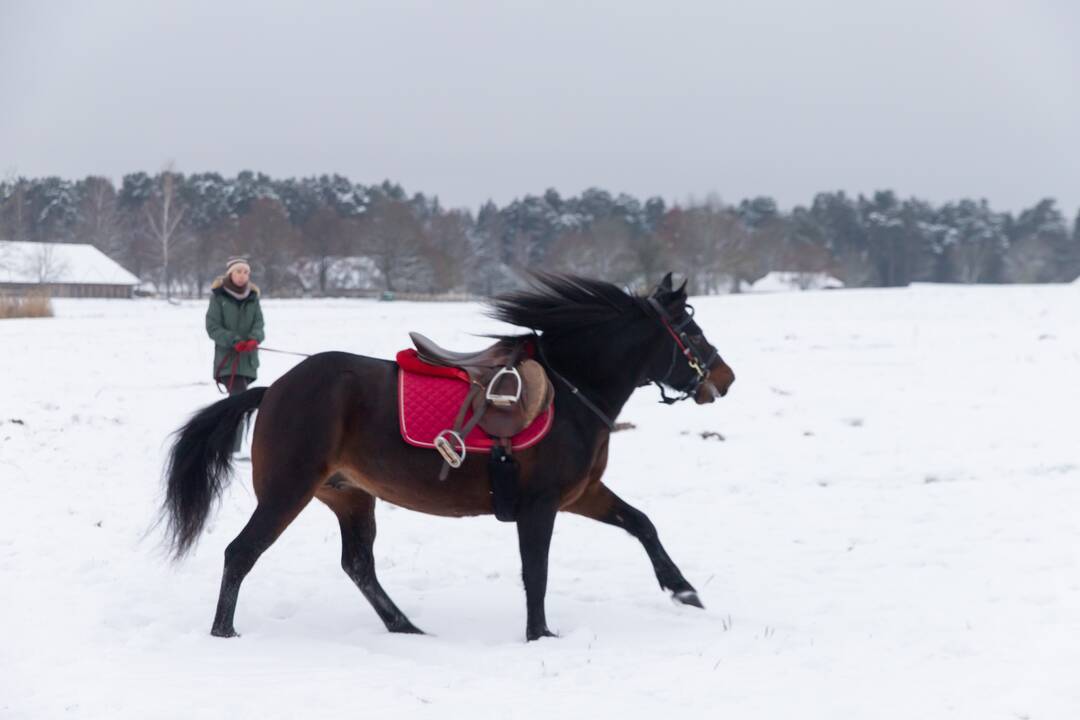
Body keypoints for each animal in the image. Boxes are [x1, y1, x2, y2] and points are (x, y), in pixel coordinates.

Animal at [162, 272, 734, 643]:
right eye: (692, 332)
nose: (725, 378)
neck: (570, 393)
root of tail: (274, 390)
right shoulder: (541, 505)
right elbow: (537, 570)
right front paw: (540, 634)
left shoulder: (581, 494)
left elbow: (642, 524)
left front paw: (684, 592)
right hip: (288, 491)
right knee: (241, 553)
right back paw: (224, 631)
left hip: (350, 496)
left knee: (358, 564)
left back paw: (405, 627)